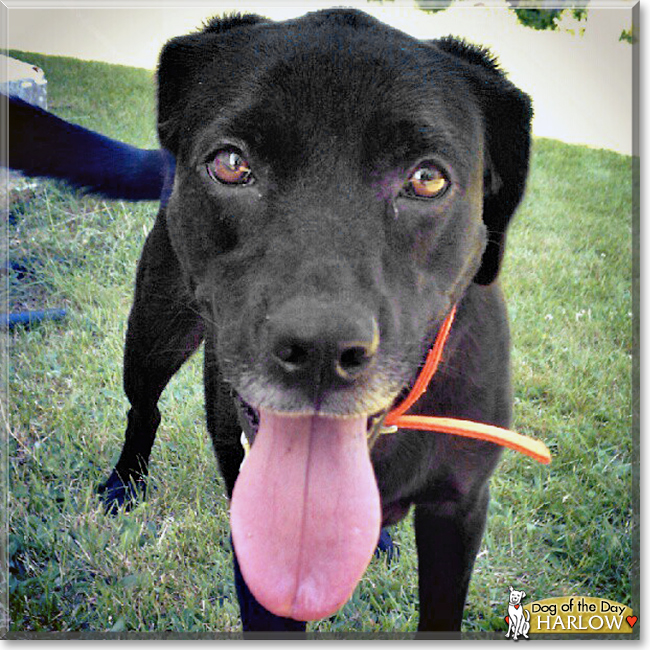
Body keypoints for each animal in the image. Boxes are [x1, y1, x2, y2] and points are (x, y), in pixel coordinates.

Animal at [6, 7, 532, 632]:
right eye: (232, 164)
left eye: (427, 178)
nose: (321, 351)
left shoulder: (461, 510)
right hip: (153, 334)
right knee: (144, 408)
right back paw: (125, 484)